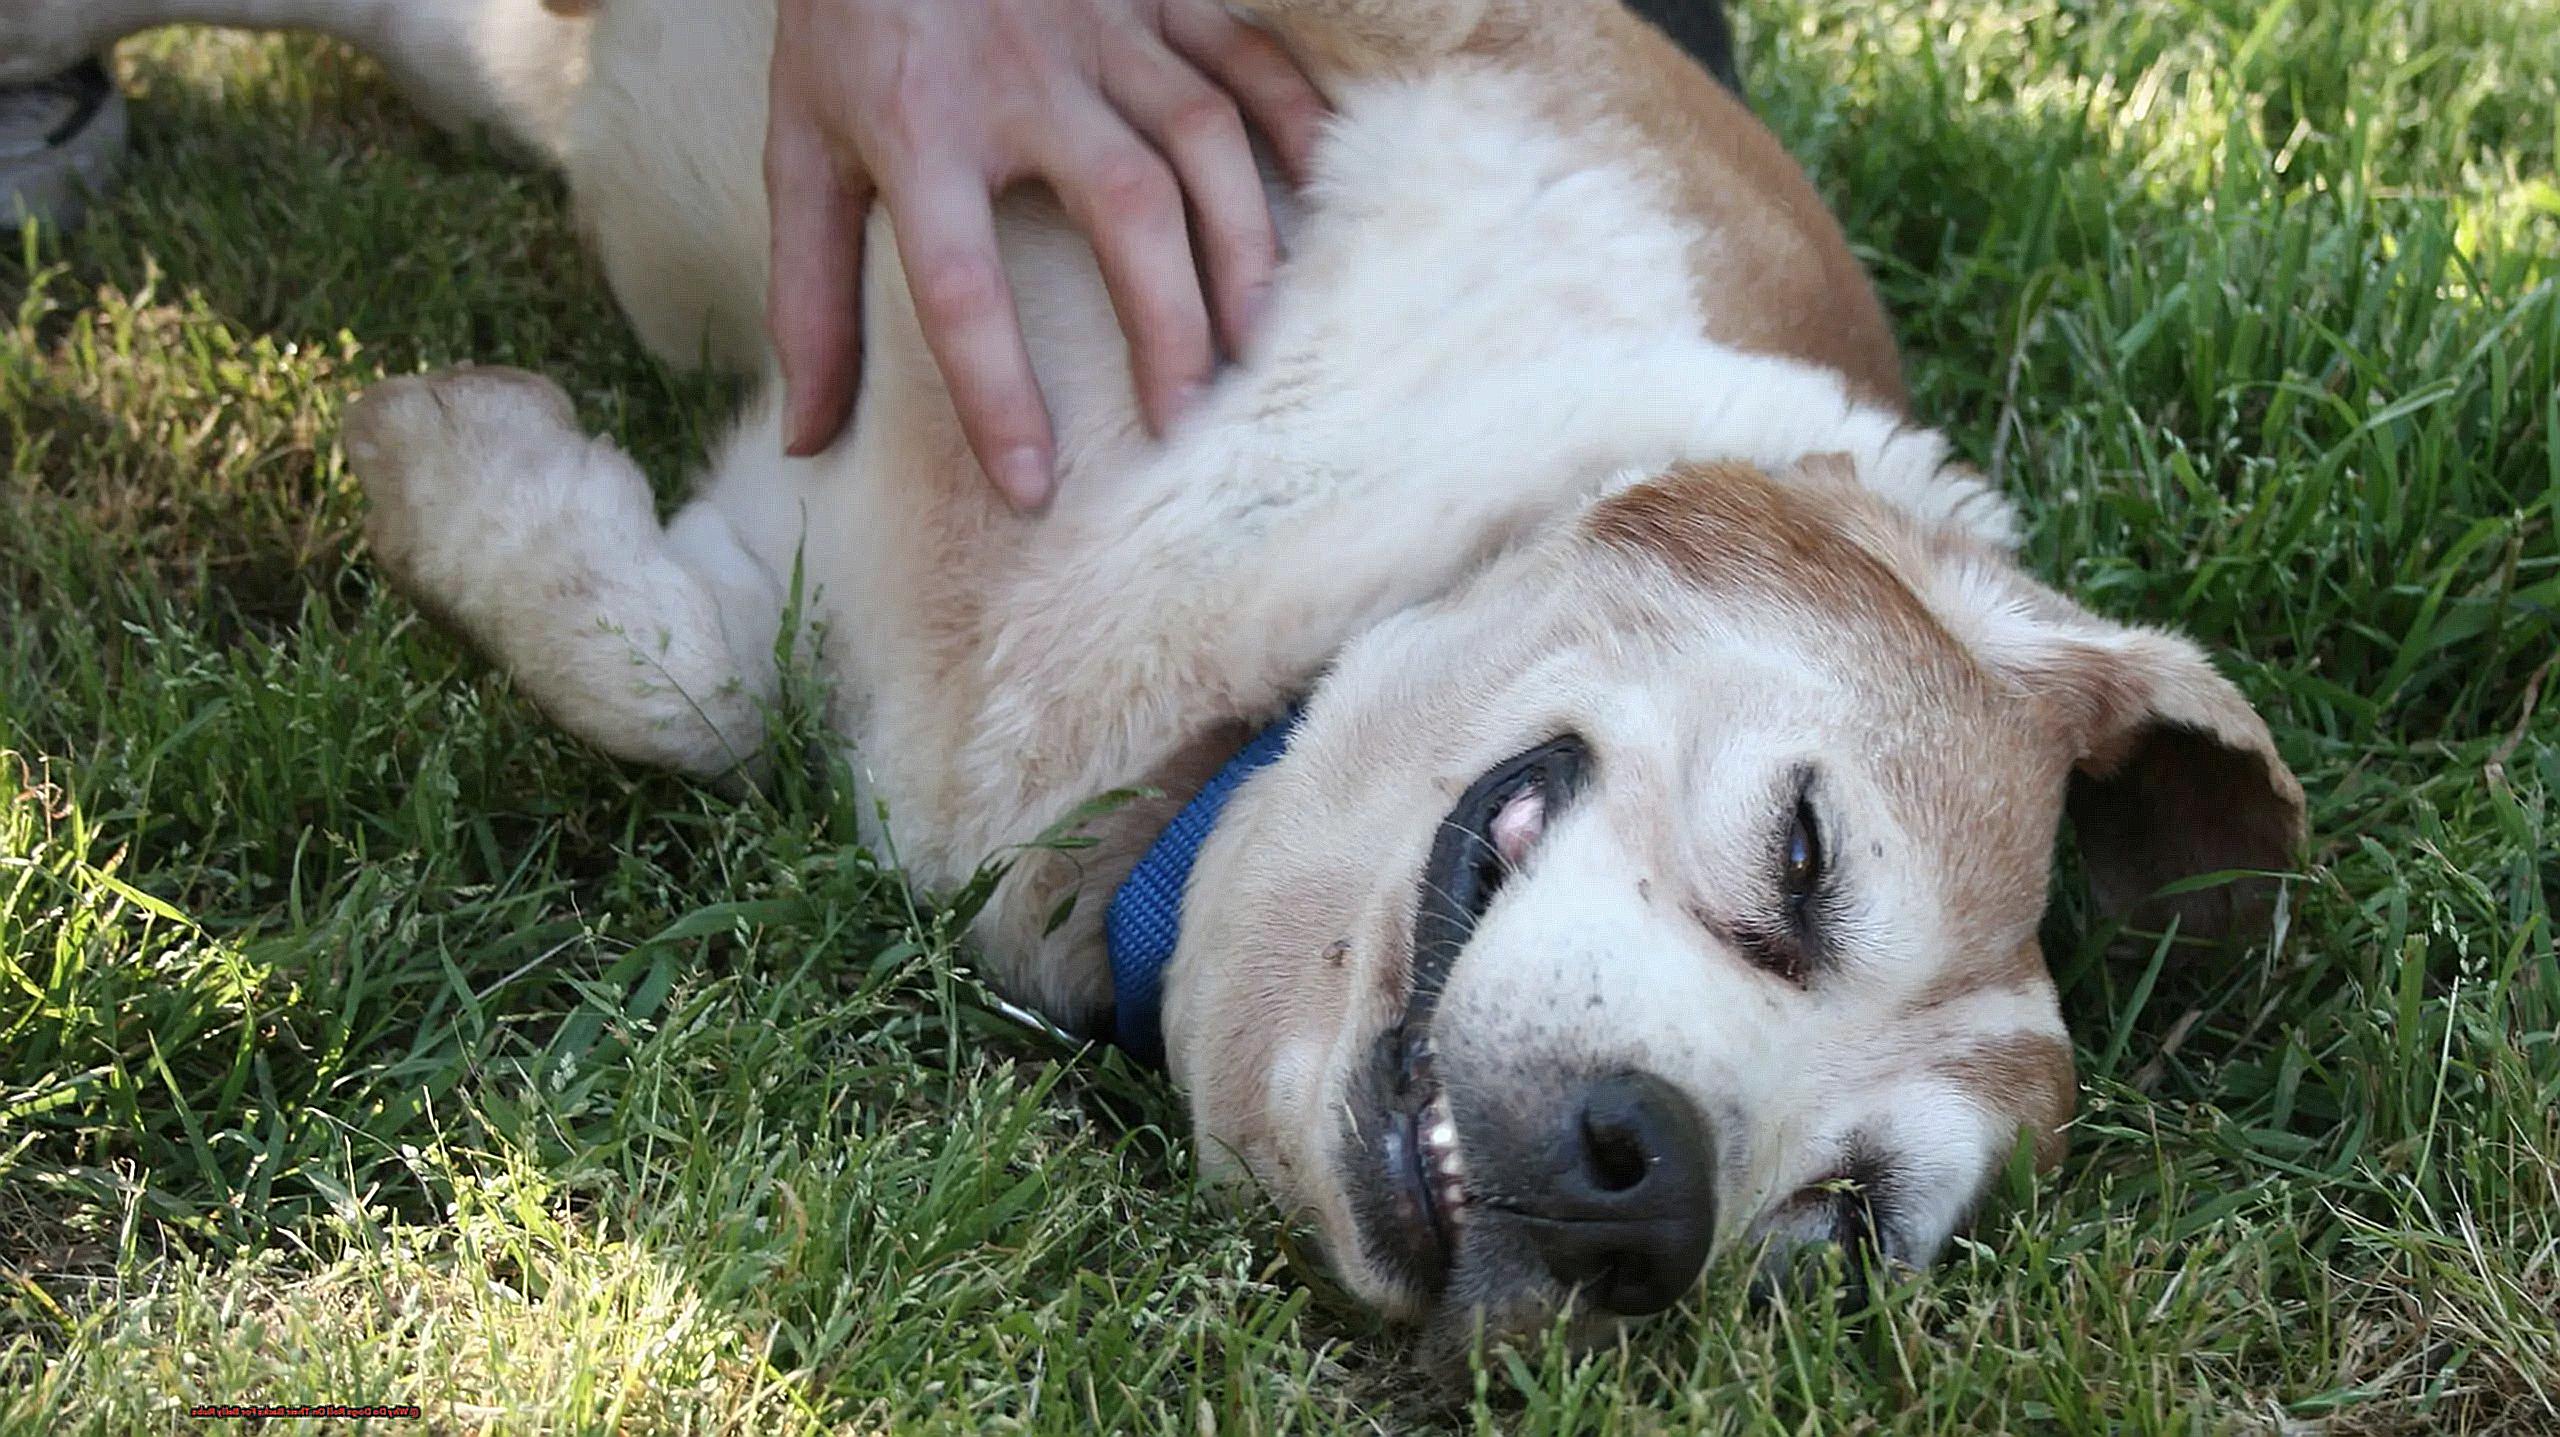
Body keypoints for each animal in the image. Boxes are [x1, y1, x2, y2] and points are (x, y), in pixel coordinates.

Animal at [5, 0, 2324, 1362]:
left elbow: (673, 673)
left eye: (1834, 1235)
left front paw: (456, 462)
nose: (1646, 1193)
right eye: (1805, 855)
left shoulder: (780, 534)